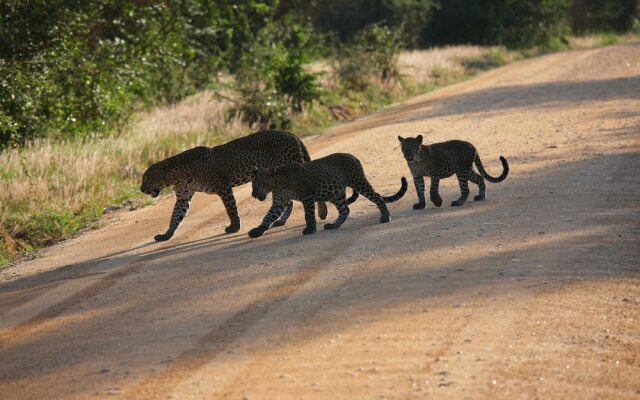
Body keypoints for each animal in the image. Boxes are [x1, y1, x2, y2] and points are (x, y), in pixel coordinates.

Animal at [142, 130, 328, 241]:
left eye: (146, 178)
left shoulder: (223, 187)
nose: (141, 189)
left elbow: (230, 209)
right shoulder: (183, 197)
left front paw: (234, 227)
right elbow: (175, 217)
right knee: (288, 201)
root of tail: (292, 134)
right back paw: (280, 221)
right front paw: (166, 235)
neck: (176, 176)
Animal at [248, 153, 408, 238]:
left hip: (358, 181)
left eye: (258, 183)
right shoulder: (279, 202)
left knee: (377, 197)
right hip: (337, 194)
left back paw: (385, 216)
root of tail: (353, 156)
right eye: (253, 184)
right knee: (345, 210)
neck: (278, 184)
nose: (253, 194)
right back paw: (334, 225)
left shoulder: (307, 197)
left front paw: (310, 229)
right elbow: (268, 216)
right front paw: (258, 230)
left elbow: (308, 215)